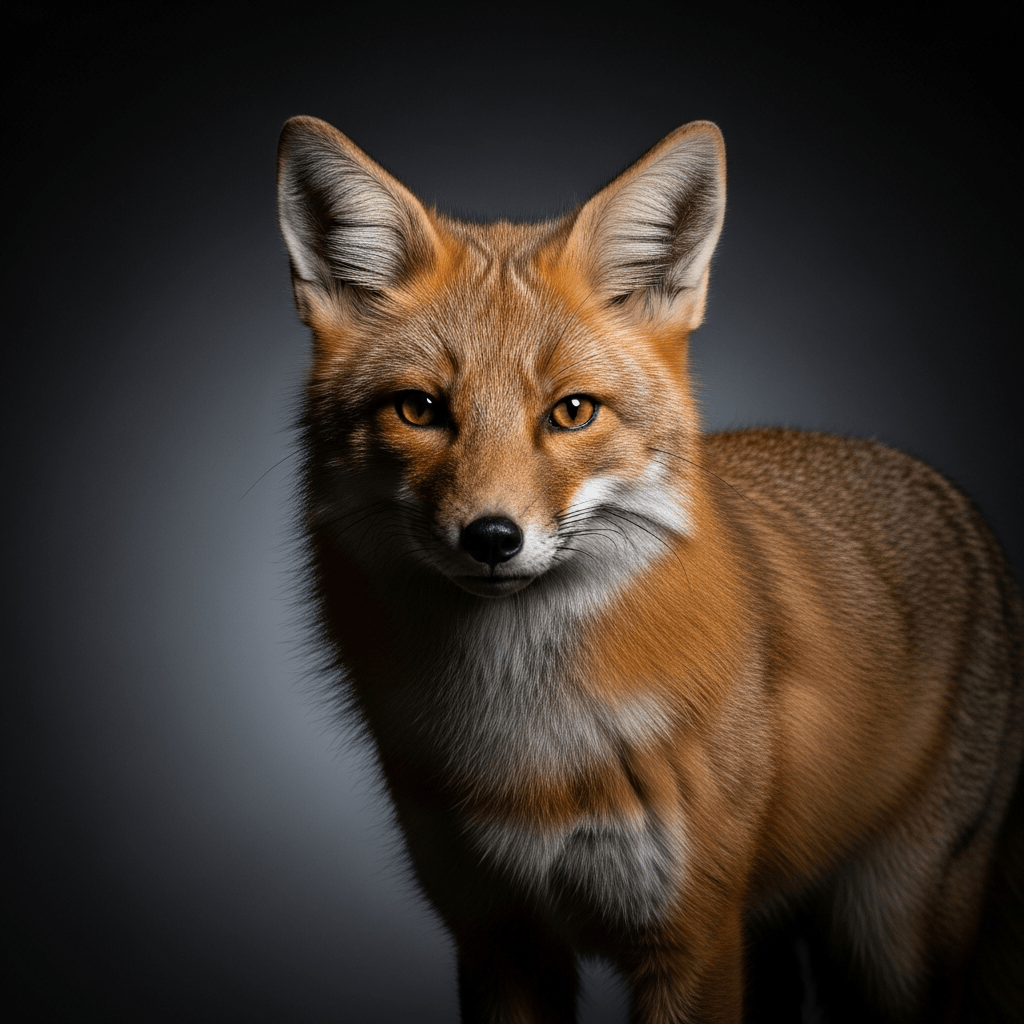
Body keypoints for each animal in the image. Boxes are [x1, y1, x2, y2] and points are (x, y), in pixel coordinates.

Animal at [276, 115, 1023, 1023]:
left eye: (571, 412)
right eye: (419, 410)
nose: (491, 537)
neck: (528, 750)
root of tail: (941, 487)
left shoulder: (692, 937)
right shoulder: (498, 938)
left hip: (885, 948)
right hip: (776, 939)